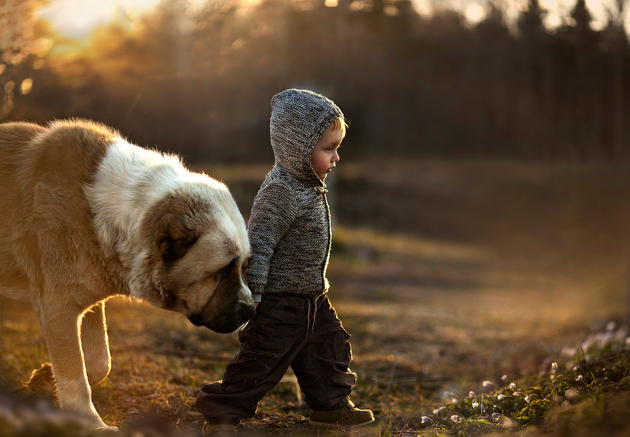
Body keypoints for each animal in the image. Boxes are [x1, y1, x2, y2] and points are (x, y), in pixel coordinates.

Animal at [0, 119, 256, 426]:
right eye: (223, 270)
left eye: (244, 266)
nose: (251, 310)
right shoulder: (57, 305)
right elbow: (75, 372)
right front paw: (90, 424)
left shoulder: (86, 300)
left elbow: (98, 361)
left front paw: (46, 378)